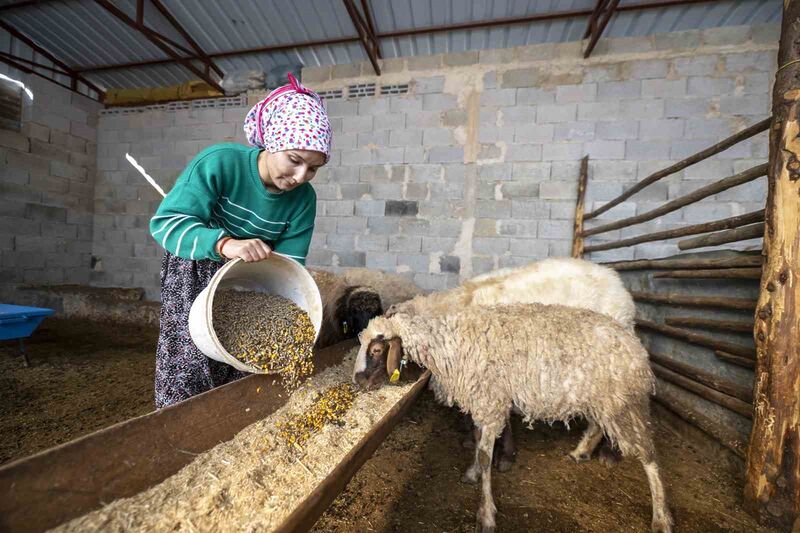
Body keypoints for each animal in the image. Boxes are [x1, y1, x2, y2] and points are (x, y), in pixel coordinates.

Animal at [354, 304, 672, 532]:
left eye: (377, 350)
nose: (357, 381)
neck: (449, 344)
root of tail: (635, 345)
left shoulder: (490, 401)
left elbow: (486, 455)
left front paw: (486, 514)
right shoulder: (484, 401)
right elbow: (479, 442)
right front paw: (473, 473)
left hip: (624, 402)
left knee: (648, 454)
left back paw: (661, 517)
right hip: (601, 398)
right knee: (596, 426)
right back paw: (579, 452)